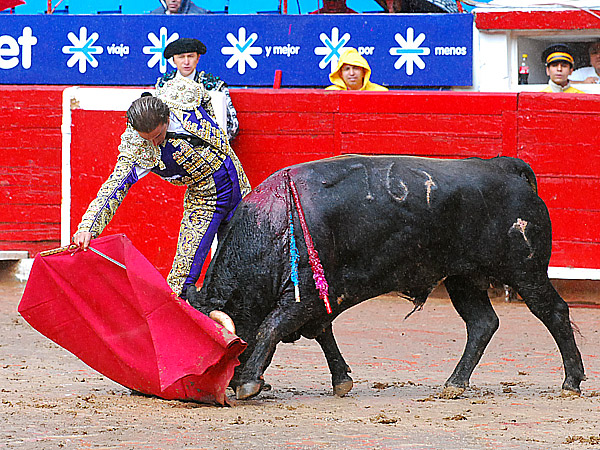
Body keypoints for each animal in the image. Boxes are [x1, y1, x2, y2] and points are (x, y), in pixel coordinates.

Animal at [189, 156, 584, 400]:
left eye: (226, 349)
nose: (219, 385)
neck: (271, 229)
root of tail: (505, 167)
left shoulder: (305, 296)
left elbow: (270, 327)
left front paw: (249, 382)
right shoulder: (320, 303)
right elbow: (322, 334)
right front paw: (342, 381)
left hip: (525, 270)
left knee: (554, 312)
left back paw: (571, 382)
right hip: (463, 277)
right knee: (482, 323)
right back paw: (455, 383)